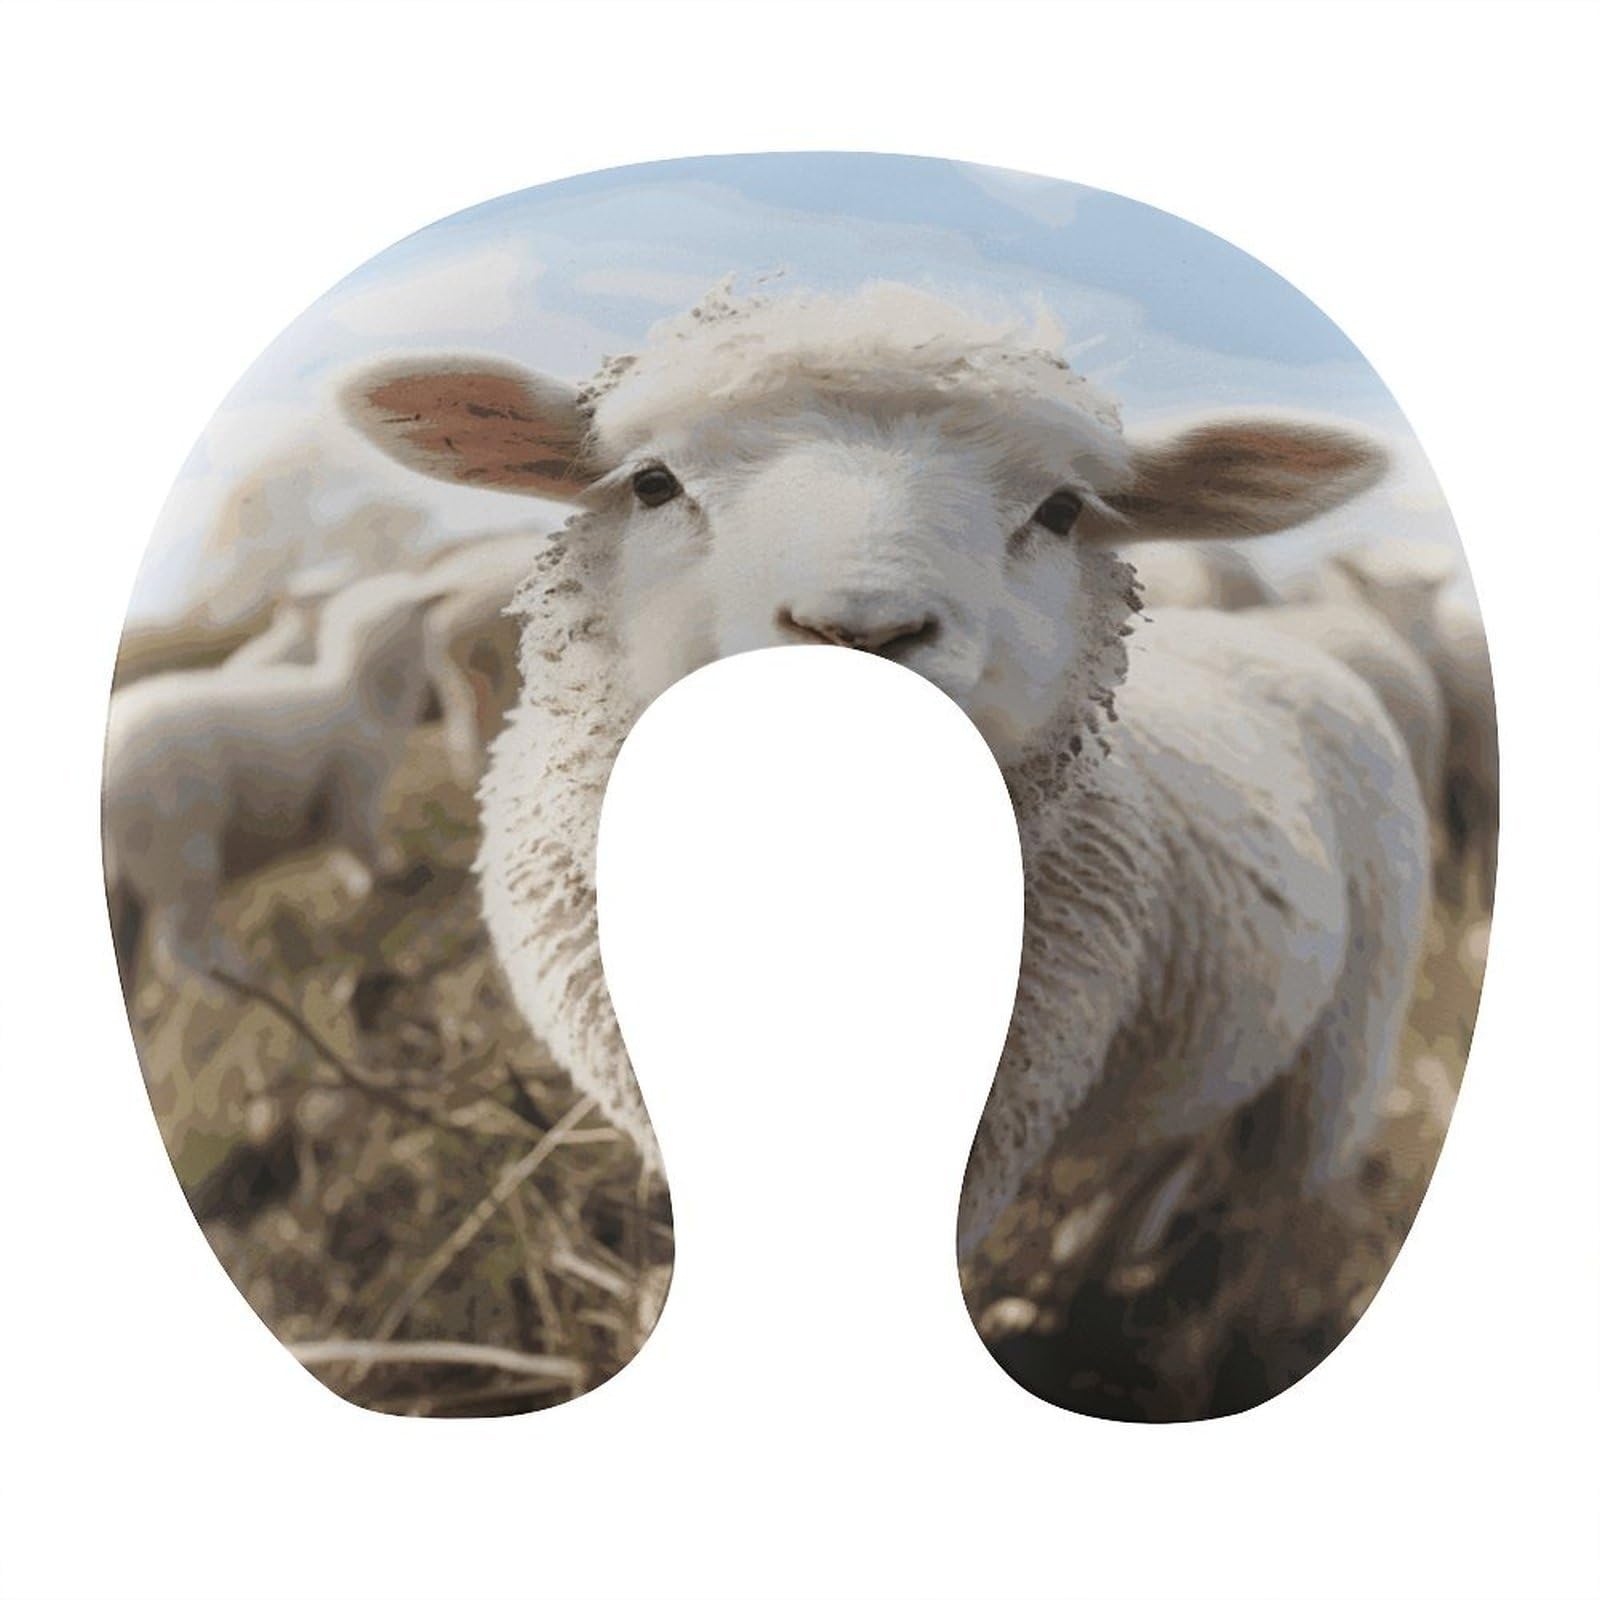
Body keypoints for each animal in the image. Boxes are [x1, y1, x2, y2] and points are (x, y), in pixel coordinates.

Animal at [104, 571, 444, 988]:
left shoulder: (333, 804)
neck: (360, 690)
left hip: (132, 883)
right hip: (181, 855)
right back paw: (236, 984)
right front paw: (391, 873)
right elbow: (361, 843)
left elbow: (342, 849)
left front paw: (360, 884)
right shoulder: (356, 789)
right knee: (178, 954)